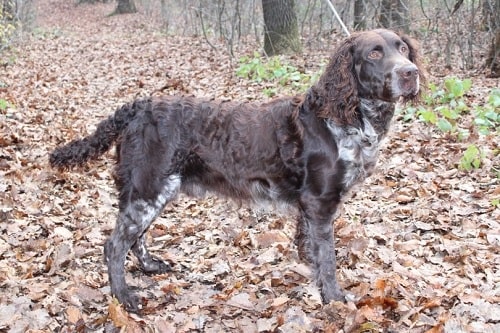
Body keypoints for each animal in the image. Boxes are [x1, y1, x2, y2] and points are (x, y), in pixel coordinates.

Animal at [49, 28, 422, 312]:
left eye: (403, 48)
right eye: (374, 53)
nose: (410, 73)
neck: (343, 117)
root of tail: (137, 107)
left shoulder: (308, 207)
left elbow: (310, 250)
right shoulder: (320, 202)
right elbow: (328, 259)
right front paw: (334, 298)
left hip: (154, 190)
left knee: (135, 237)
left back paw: (151, 266)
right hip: (149, 187)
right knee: (115, 245)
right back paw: (124, 297)